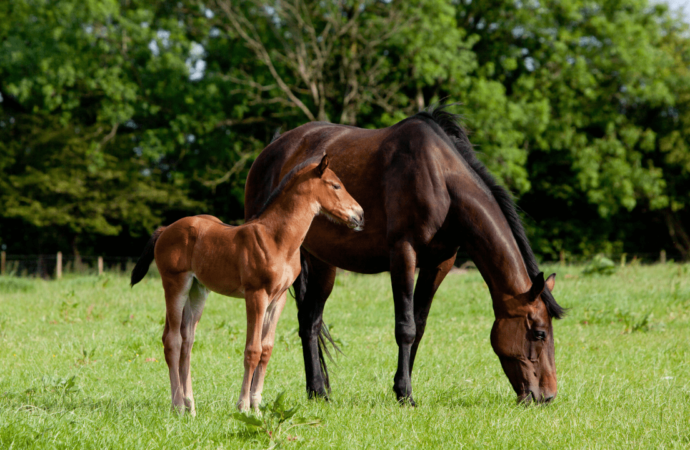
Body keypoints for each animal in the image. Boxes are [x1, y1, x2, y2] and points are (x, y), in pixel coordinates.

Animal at [131, 156, 362, 414]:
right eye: (336, 185)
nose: (359, 215)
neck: (277, 239)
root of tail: (164, 230)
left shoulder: (278, 298)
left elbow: (266, 349)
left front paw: (257, 405)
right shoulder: (256, 295)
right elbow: (253, 349)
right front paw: (243, 405)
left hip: (197, 290)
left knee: (187, 340)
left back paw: (190, 405)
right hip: (175, 284)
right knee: (172, 340)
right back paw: (178, 405)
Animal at [245, 107, 560, 406]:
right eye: (539, 333)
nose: (547, 396)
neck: (441, 179)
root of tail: (271, 150)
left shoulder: (439, 263)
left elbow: (419, 326)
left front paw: (402, 388)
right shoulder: (403, 254)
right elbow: (405, 327)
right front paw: (406, 394)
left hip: (323, 263)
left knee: (310, 321)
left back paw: (317, 391)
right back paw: (315, 390)